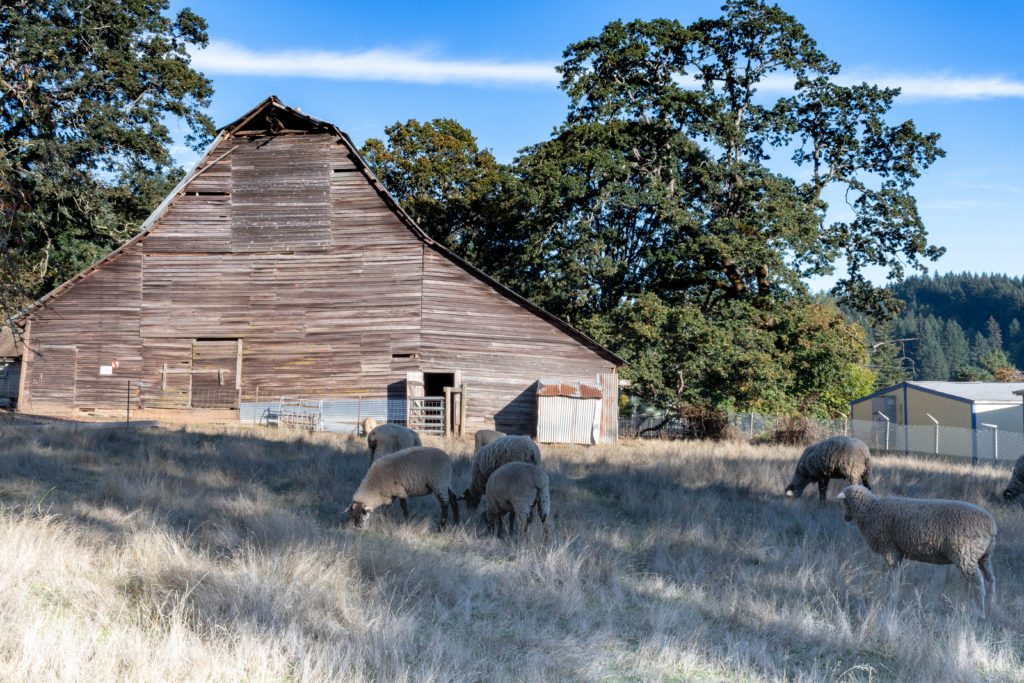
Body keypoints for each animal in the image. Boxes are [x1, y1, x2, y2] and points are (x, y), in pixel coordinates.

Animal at [835, 485, 995, 618]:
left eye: (843, 503)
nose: (845, 518)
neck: (871, 509)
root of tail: (991, 525)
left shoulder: (889, 549)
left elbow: (893, 575)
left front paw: (893, 597)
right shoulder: (897, 551)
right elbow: (896, 573)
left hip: (965, 554)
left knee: (978, 584)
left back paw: (980, 613)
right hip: (983, 557)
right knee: (990, 579)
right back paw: (991, 606)